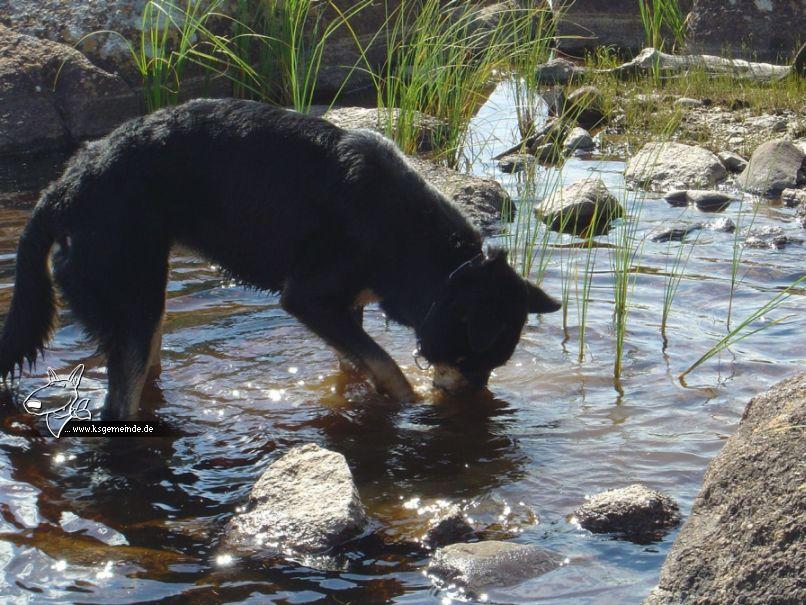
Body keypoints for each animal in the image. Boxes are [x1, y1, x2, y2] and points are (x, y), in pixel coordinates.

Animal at [0, 100, 560, 420]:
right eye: (477, 361)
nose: (473, 407)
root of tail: (61, 190)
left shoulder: (345, 309)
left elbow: (361, 363)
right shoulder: (308, 299)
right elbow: (389, 365)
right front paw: (414, 406)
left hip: (144, 307)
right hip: (132, 301)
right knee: (119, 402)